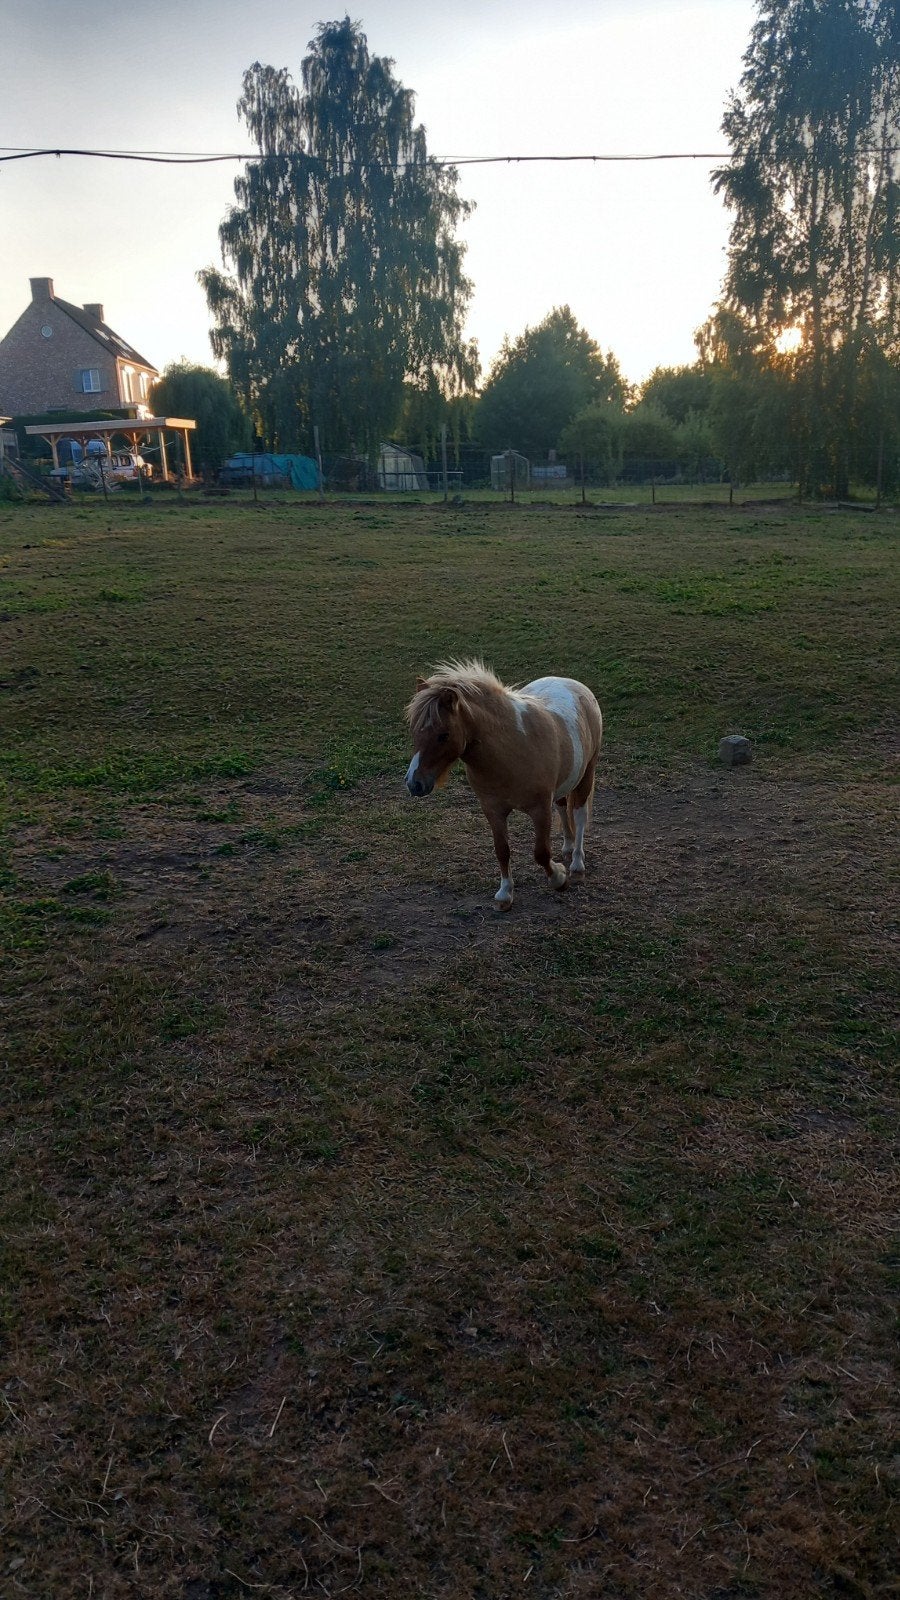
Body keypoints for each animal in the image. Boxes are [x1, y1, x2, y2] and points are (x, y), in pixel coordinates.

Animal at [405, 660, 603, 910]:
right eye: (413, 730)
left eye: (443, 735)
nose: (414, 783)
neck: (511, 748)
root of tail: (572, 684)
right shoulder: (493, 810)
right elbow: (502, 850)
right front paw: (505, 894)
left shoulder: (540, 810)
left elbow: (541, 852)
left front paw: (559, 878)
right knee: (562, 806)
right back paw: (567, 848)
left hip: (587, 773)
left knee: (579, 814)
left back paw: (577, 863)